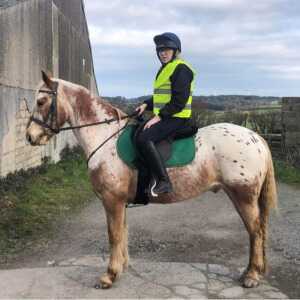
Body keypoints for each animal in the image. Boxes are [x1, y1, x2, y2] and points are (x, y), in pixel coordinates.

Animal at [25, 71, 276, 290]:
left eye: (41, 101)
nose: (30, 136)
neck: (106, 139)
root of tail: (255, 137)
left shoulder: (112, 200)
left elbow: (114, 235)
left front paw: (109, 276)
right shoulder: (120, 203)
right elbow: (122, 233)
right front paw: (122, 268)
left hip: (243, 196)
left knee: (256, 231)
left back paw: (251, 276)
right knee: (257, 231)